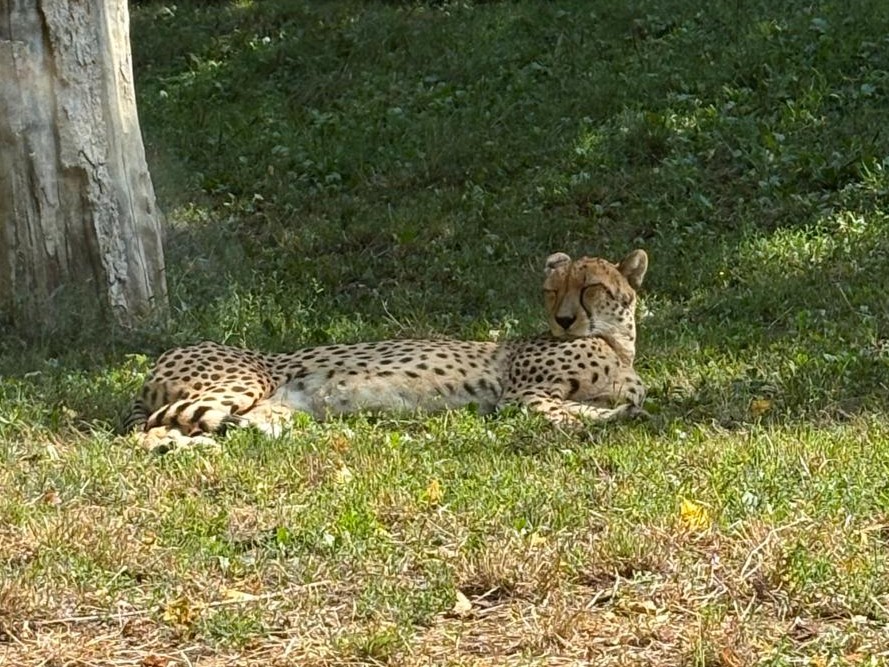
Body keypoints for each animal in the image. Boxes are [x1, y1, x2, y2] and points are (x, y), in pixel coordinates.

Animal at [125, 249, 649, 451]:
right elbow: (570, 415)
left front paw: (623, 414)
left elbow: (606, 407)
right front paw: (614, 420)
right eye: (552, 291)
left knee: (215, 426)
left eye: (589, 288)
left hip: (275, 413)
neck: (616, 344)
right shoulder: (523, 397)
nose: (564, 320)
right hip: (243, 380)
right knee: (148, 429)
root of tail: (162, 358)